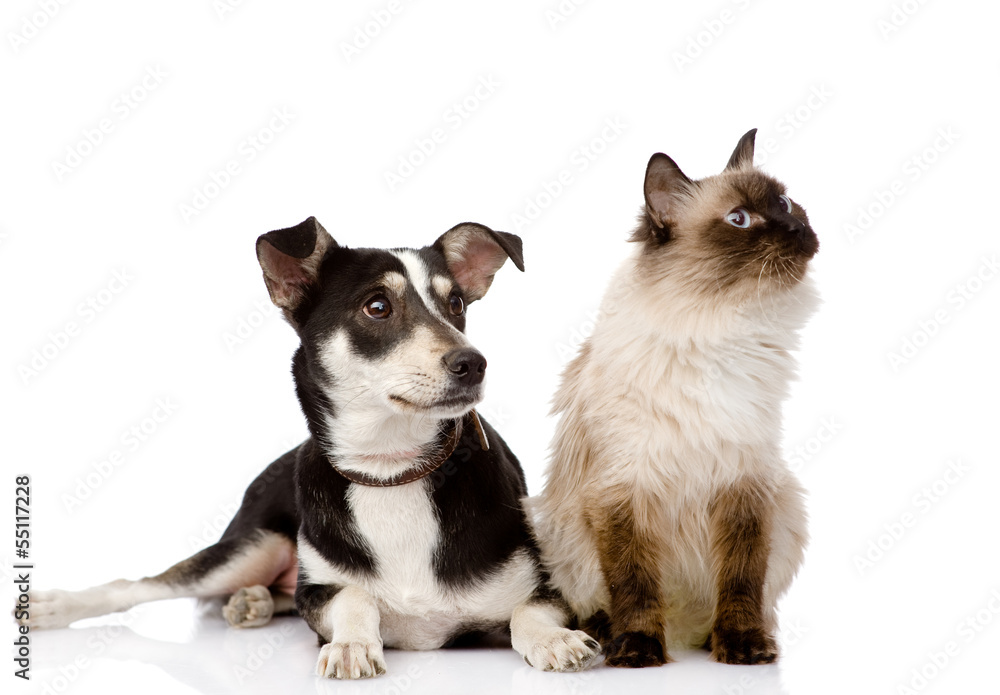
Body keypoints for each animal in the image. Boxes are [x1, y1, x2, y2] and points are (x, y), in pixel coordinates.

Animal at [19, 216, 596, 680]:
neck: (390, 471)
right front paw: (352, 644)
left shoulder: (552, 586)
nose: (473, 363)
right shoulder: (316, 592)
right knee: (140, 583)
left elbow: (527, 612)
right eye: (378, 306)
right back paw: (52, 606)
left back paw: (252, 602)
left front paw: (554, 640)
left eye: (455, 304)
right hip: (254, 545)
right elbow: (354, 594)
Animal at [532, 130, 820, 668]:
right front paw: (638, 649)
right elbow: (634, 583)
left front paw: (743, 646)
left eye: (785, 203)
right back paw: (607, 638)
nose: (798, 227)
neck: (719, 327)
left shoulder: (744, 485)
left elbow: (742, 580)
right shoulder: (624, 490)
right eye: (739, 219)